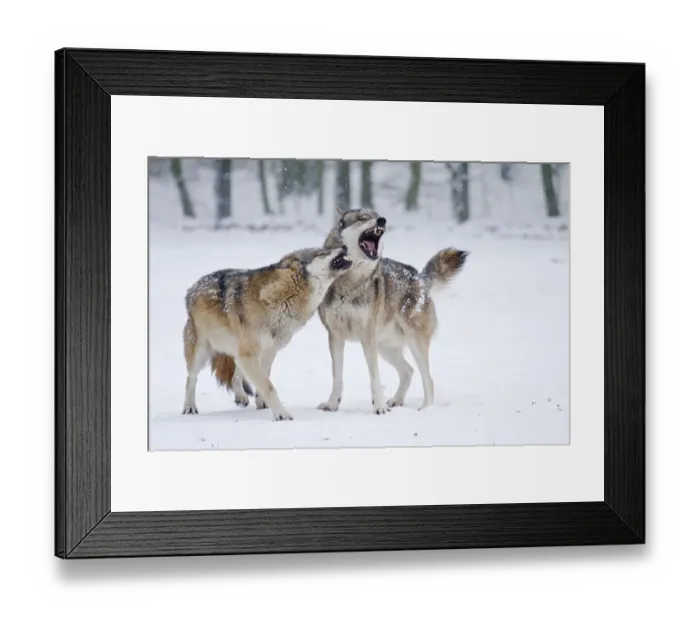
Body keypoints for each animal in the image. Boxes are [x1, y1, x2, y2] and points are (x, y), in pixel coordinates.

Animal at [181, 245, 353, 421]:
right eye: (322, 252)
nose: (344, 246)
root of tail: (192, 289)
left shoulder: (268, 351)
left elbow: (263, 380)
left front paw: (262, 403)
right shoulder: (249, 354)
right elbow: (268, 386)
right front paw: (281, 414)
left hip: (239, 352)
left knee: (236, 373)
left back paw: (240, 397)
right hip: (201, 353)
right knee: (190, 378)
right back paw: (189, 407)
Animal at [316, 208, 469, 414]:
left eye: (376, 214)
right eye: (363, 218)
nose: (382, 220)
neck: (351, 281)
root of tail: (420, 278)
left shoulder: (367, 338)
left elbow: (375, 378)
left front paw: (379, 407)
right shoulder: (335, 337)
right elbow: (337, 378)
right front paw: (332, 405)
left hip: (412, 343)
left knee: (428, 379)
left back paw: (425, 409)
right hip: (385, 347)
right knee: (408, 371)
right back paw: (397, 400)